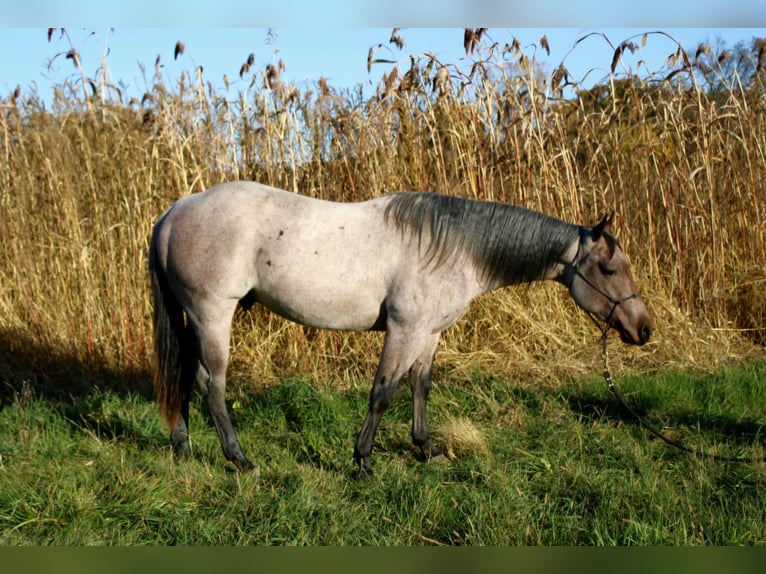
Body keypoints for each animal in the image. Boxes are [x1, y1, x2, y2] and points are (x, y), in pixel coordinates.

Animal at [150, 182, 656, 474]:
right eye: (609, 270)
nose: (644, 329)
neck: (456, 247)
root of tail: (174, 212)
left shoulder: (429, 334)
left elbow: (420, 386)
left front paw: (425, 448)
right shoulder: (405, 330)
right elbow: (383, 391)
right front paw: (363, 461)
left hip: (196, 318)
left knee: (185, 378)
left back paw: (183, 449)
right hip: (213, 314)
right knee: (211, 385)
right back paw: (239, 459)